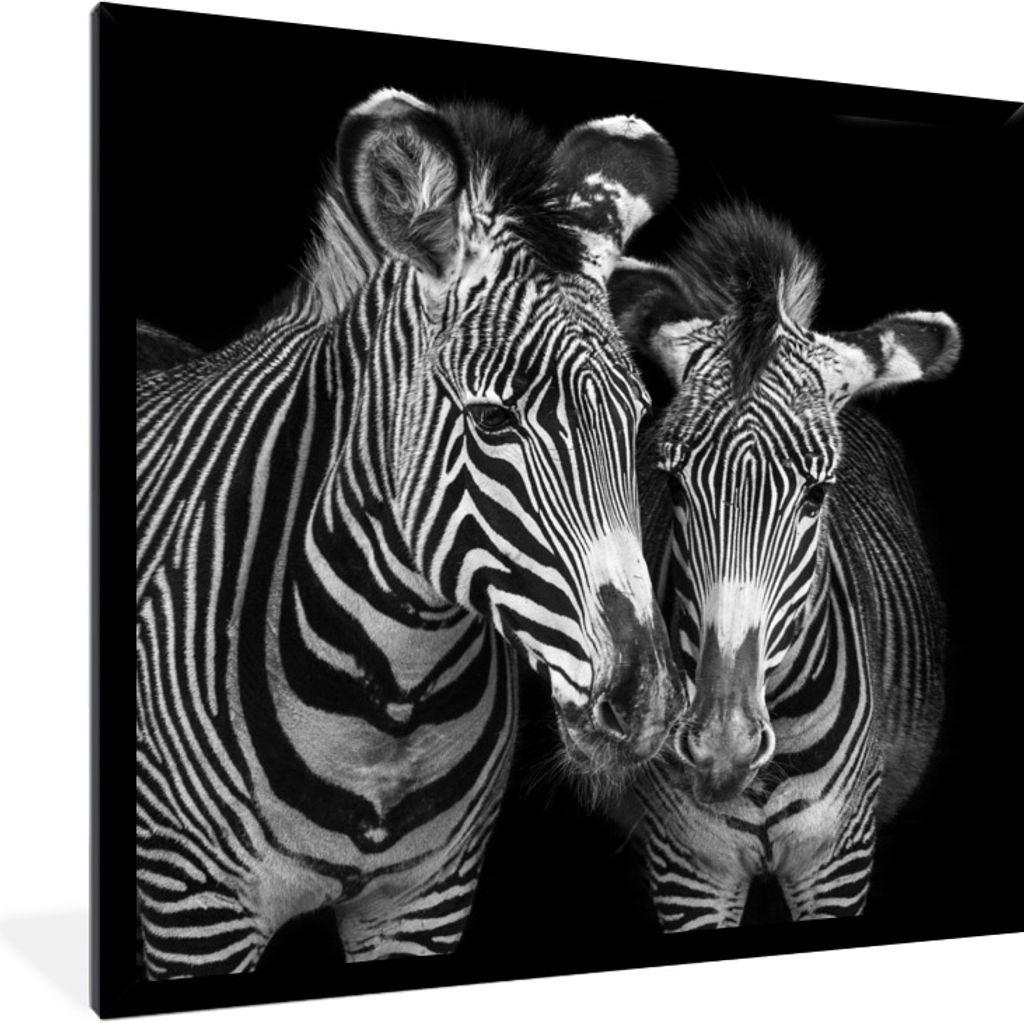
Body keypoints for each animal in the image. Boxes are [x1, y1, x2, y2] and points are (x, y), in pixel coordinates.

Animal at [136, 89, 684, 977]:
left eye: (636, 422)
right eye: (493, 420)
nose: (649, 702)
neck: (389, 703)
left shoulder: (425, 903)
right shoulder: (192, 909)